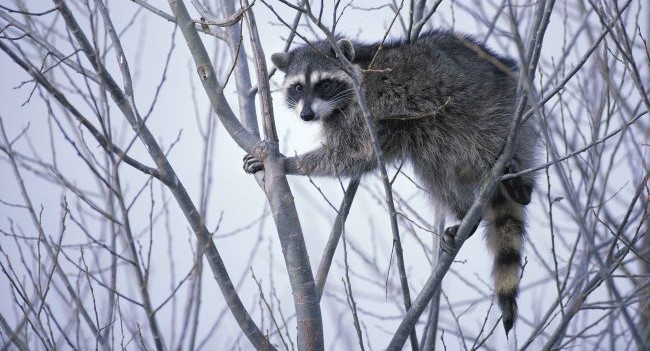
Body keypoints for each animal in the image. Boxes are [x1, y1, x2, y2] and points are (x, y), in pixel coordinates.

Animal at [243, 30, 536, 336]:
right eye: (298, 87)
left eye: (324, 84)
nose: (307, 115)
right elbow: (358, 157)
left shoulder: (367, 108)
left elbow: (351, 154)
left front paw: (288, 162)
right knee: (434, 169)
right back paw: (465, 213)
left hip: (495, 111)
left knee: (486, 140)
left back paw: (521, 185)